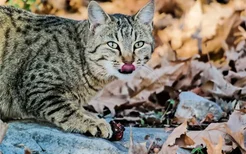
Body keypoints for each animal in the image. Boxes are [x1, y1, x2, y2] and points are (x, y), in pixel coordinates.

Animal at [0, 0, 155, 138]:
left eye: (139, 44)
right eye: (112, 44)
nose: (128, 61)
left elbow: (77, 107)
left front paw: (95, 117)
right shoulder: (37, 87)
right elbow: (66, 110)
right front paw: (92, 123)